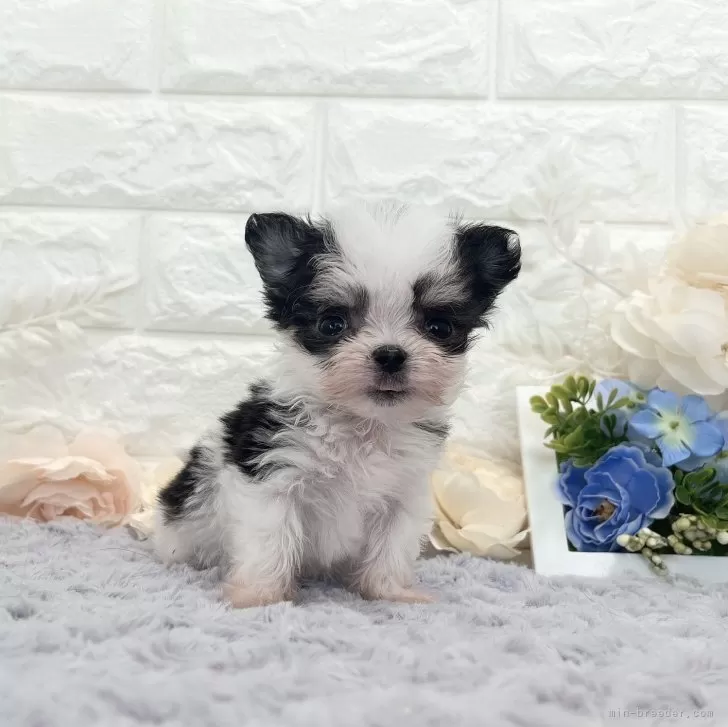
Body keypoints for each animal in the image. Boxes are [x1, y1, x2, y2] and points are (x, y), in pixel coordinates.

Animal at [154, 205, 520, 608]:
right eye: (332, 324)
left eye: (438, 327)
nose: (390, 354)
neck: (362, 424)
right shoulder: (272, 478)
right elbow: (270, 544)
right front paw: (260, 597)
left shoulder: (403, 495)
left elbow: (392, 548)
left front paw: (391, 593)